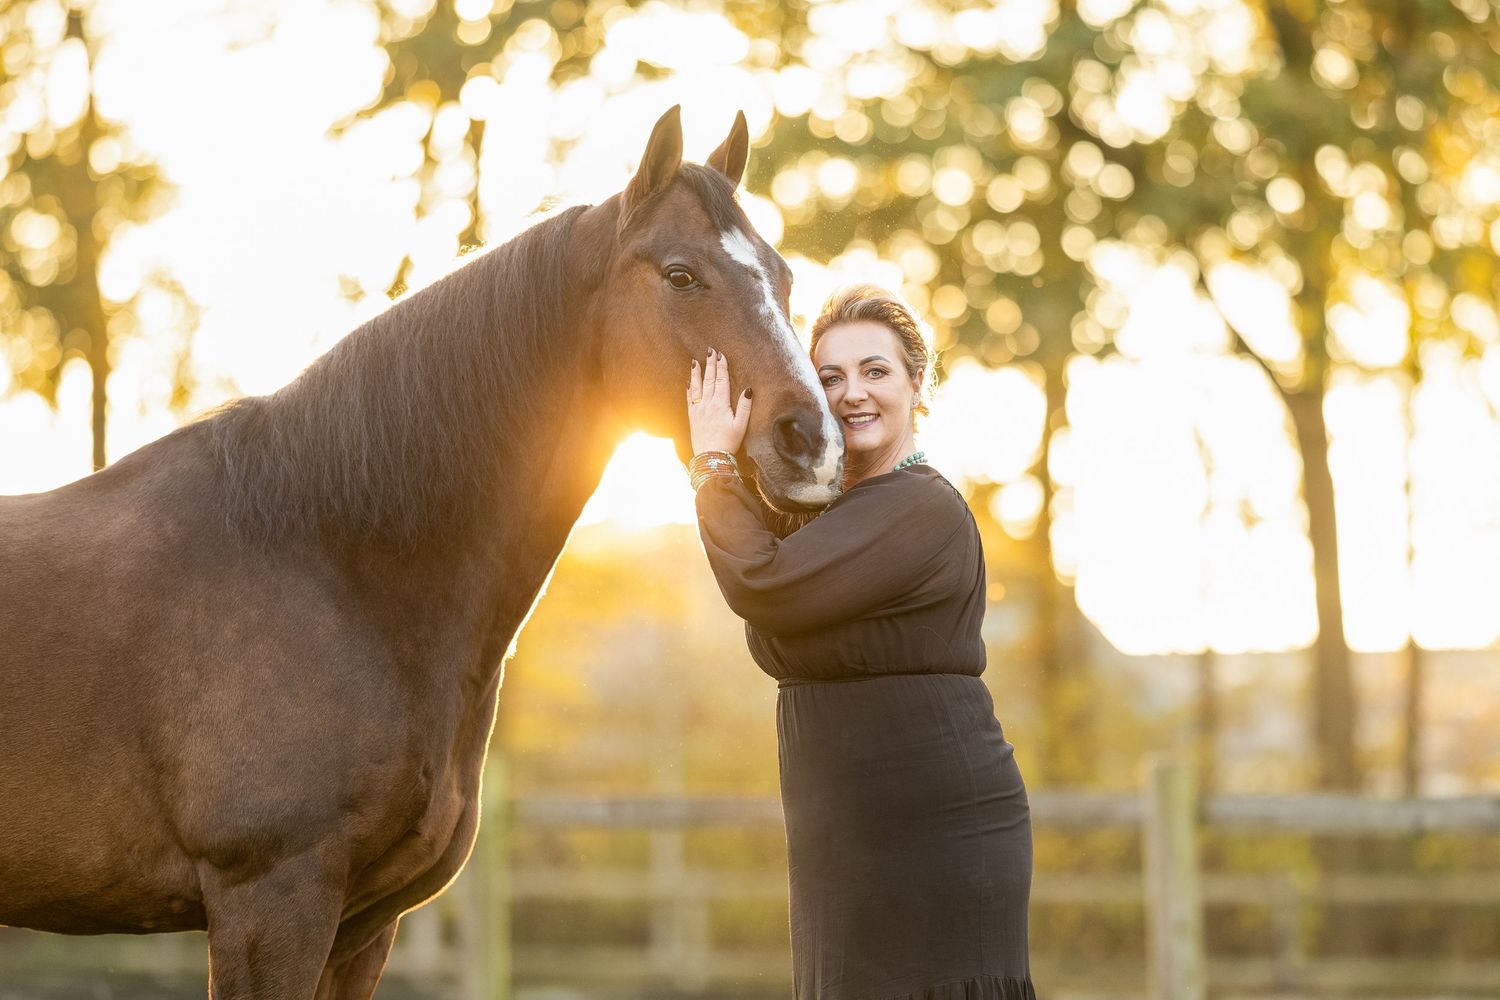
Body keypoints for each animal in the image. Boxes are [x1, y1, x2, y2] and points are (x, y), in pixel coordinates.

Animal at [0, 105, 844, 999]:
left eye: (785, 278)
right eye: (681, 275)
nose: (813, 442)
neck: (332, 564)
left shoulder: (363, 926)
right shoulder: (269, 901)